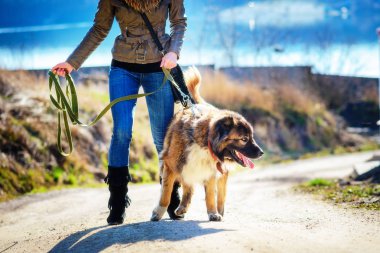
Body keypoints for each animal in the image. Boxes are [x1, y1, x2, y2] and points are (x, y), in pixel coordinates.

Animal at [150, 67, 262, 221]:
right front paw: (158, 212)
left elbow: (210, 195)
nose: (261, 152)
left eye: (251, 137)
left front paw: (213, 213)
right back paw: (183, 206)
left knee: (219, 193)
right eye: (244, 139)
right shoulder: (171, 165)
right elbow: (166, 193)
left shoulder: (211, 171)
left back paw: (217, 210)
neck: (204, 140)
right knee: (187, 186)